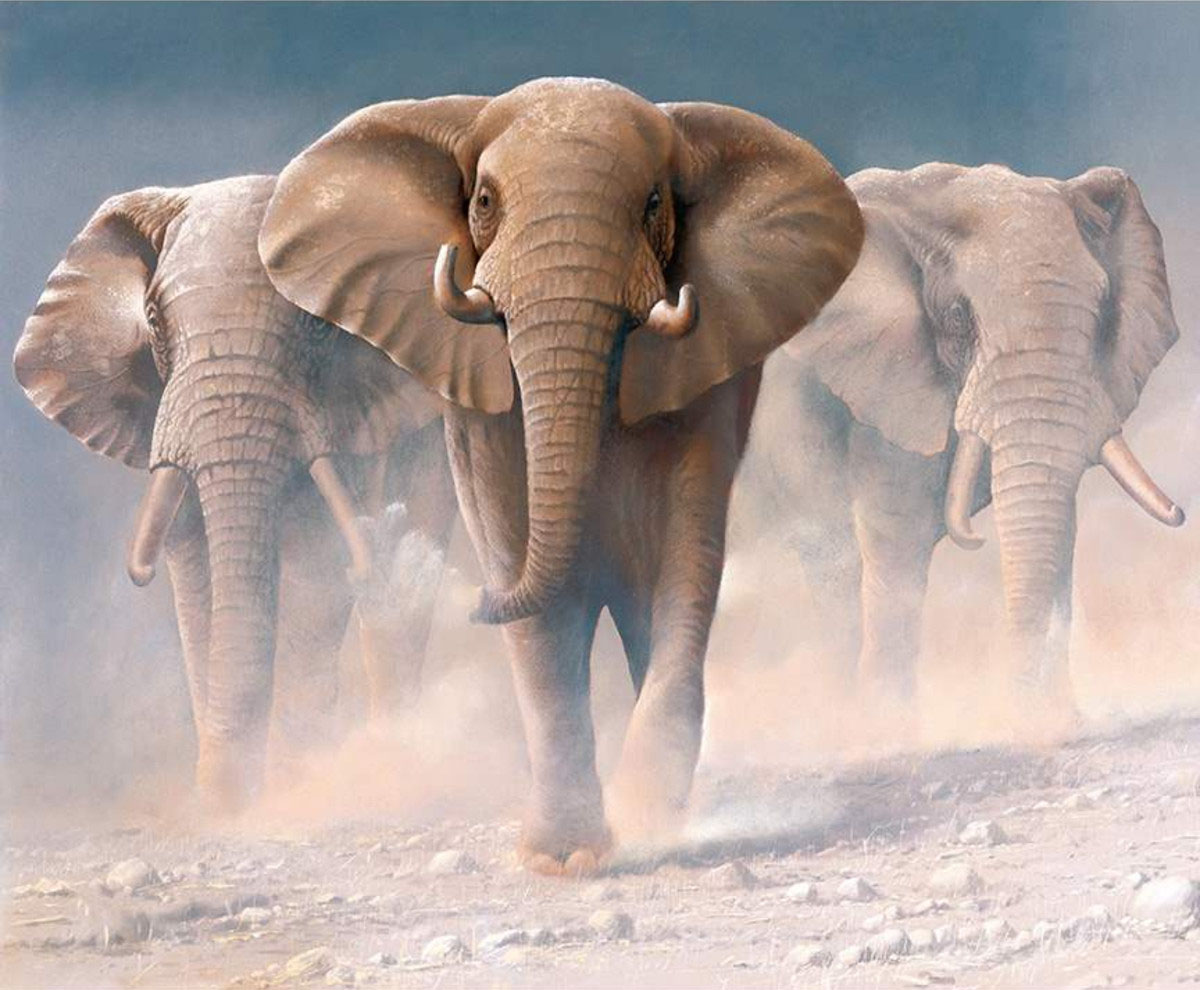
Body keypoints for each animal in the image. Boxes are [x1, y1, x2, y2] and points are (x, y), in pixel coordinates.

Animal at [13, 175, 457, 812]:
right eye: (152, 319)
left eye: (317, 325)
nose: (227, 792)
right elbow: (196, 574)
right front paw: (222, 801)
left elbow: (315, 566)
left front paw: (287, 792)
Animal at [258, 77, 863, 871]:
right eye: (483, 200)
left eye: (653, 204)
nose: (473, 601)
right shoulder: (479, 398)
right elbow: (528, 582)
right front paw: (563, 860)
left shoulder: (707, 386)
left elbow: (684, 560)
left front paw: (647, 818)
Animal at [736, 162, 1182, 711]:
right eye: (956, 315)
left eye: (1101, 310)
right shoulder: (878, 384)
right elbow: (896, 539)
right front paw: (889, 729)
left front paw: (1052, 722)